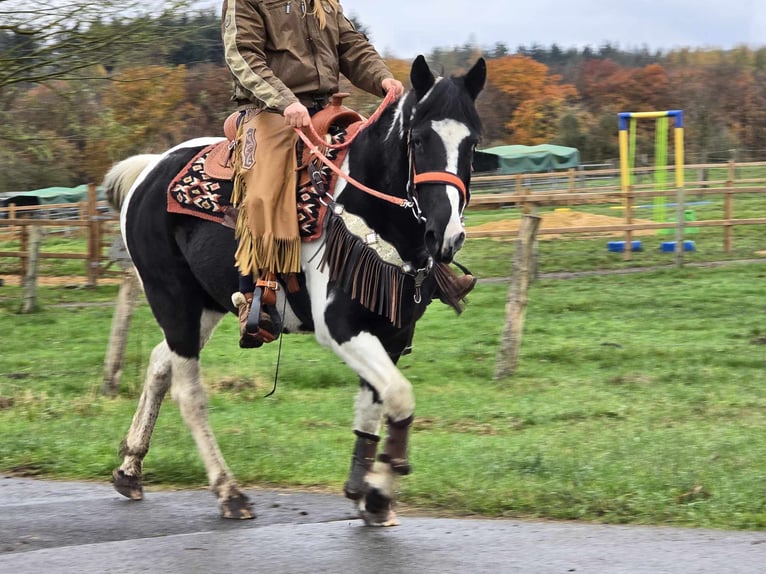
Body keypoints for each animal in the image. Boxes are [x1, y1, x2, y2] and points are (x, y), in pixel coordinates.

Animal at [103, 56, 486, 528]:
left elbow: (374, 404)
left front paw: (364, 488)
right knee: (188, 393)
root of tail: (148, 170)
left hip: (204, 306)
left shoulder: (392, 333)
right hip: (172, 299)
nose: (446, 236)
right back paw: (229, 492)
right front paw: (380, 491)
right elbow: (398, 396)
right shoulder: (340, 328)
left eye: (472, 144)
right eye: (418, 138)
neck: (362, 204)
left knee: (160, 364)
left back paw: (130, 468)